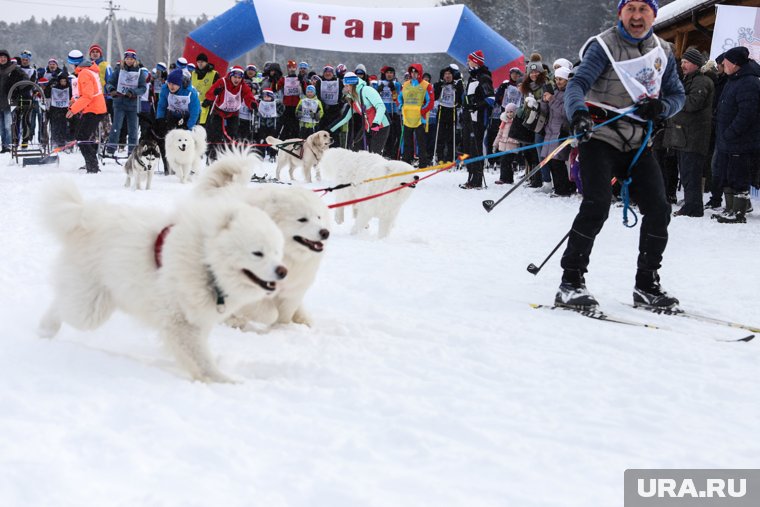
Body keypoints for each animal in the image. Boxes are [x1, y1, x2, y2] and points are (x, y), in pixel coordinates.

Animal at [37, 178, 288, 380]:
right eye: (258, 253)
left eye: (277, 251)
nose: (283, 271)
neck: (206, 260)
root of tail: (84, 217)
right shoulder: (180, 321)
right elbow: (201, 358)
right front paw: (224, 381)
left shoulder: (199, 317)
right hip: (90, 308)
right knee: (62, 306)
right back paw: (46, 330)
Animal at [193, 151, 330, 328]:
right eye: (302, 219)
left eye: (318, 217)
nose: (325, 232)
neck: (288, 256)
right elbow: (269, 312)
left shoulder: (293, 290)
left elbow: (286, 313)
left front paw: (283, 327)